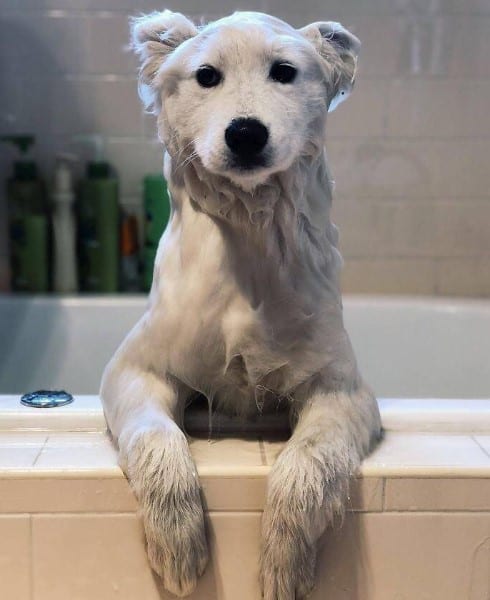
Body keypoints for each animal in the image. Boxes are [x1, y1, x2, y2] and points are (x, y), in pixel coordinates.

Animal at [100, 10, 382, 600]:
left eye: (284, 72)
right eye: (207, 76)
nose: (246, 133)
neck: (248, 250)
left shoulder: (342, 390)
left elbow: (309, 459)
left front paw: (283, 564)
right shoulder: (134, 370)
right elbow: (155, 435)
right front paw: (178, 540)